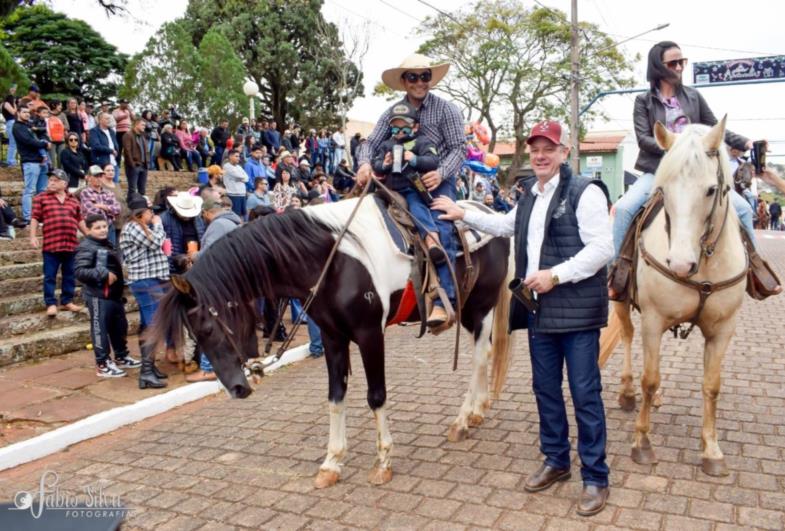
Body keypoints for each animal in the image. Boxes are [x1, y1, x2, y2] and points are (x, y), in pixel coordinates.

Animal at [148, 198, 516, 490]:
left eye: (208, 328)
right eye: (194, 333)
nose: (236, 389)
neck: (332, 261)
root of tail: (489, 212)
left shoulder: (369, 334)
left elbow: (375, 396)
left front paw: (383, 461)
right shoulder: (332, 337)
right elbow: (335, 397)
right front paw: (332, 463)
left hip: (481, 307)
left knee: (480, 357)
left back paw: (462, 420)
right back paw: (478, 411)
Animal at [608, 119, 744, 478]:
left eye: (711, 190)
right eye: (663, 192)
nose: (681, 265)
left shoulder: (723, 330)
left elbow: (712, 385)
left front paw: (711, 449)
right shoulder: (653, 321)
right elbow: (650, 378)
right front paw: (642, 443)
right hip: (619, 301)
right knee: (627, 337)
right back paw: (627, 392)